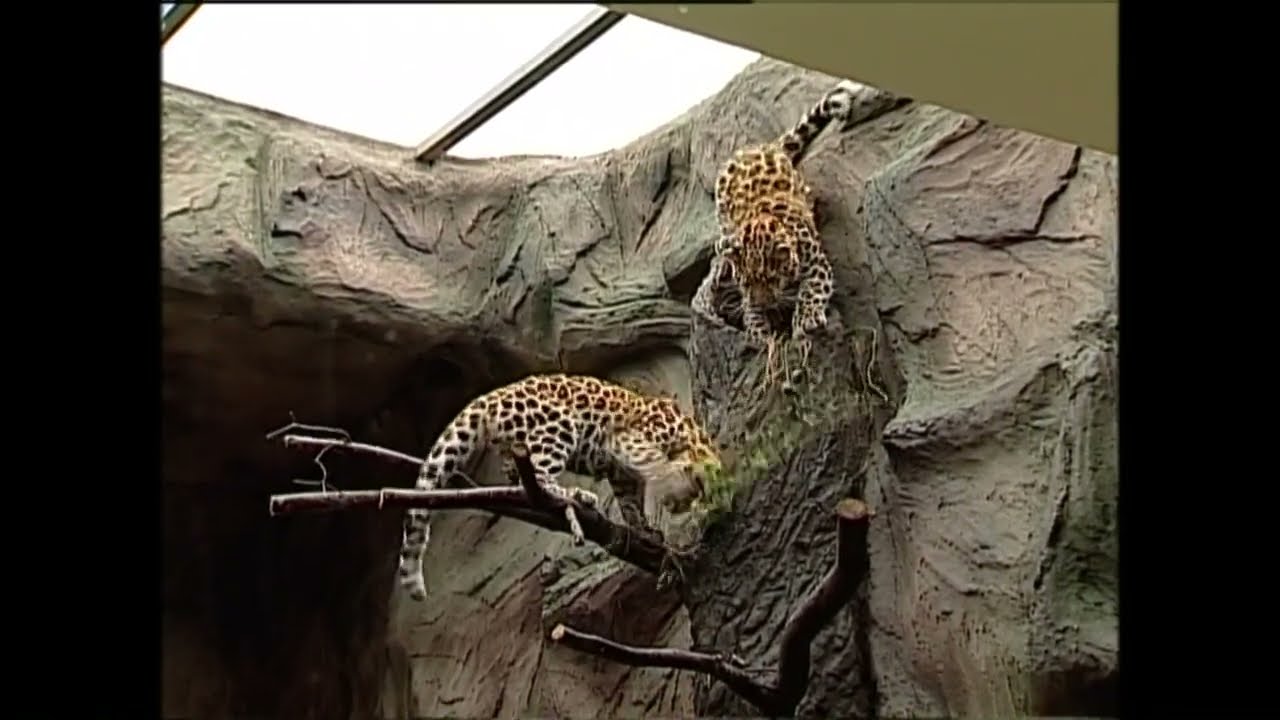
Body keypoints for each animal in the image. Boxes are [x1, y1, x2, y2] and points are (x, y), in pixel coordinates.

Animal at [397, 372, 724, 602]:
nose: (709, 505)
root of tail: (493, 396)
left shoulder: (623, 476)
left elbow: (631, 502)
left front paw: (645, 530)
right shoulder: (630, 443)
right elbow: (656, 466)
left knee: (519, 479)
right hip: (557, 427)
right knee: (540, 478)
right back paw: (576, 496)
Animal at [692, 78, 866, 387]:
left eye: (772, 279)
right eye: (746, 282)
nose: (764, 304)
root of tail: (761, 147)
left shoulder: (817, 262)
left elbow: (812, 290)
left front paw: (805, 320)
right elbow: (750, 310)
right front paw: (759, 331)